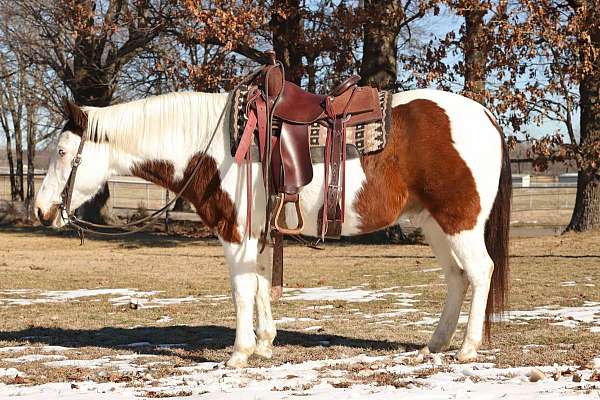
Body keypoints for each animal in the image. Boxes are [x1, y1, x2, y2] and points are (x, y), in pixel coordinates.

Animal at [34, 89, 510, 368]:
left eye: (62, 152)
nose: (41, 210)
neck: (214, 145)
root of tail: (485, 114)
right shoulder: (258, 235)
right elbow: (261, 284)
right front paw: (264, 343)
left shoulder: (235, 231)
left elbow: (241, 290)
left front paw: (239, 353)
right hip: (434, 224)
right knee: (457, 278)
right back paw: (433, 345)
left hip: (459, 221)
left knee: (480, 272)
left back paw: (467, 348)